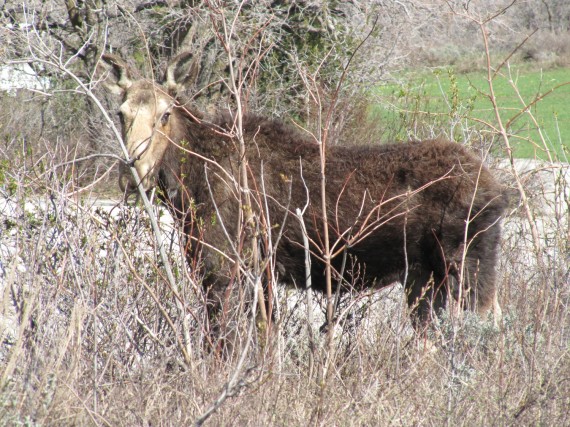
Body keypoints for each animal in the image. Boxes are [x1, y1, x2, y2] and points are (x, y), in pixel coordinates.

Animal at [100, 53, 504, 334]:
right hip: (426, 277)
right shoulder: (259, 273)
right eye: (121, 114)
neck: (187, 188)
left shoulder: (224, 268)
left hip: (466, 264)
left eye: (165, 115)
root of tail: (498, 189)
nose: (133, 175)